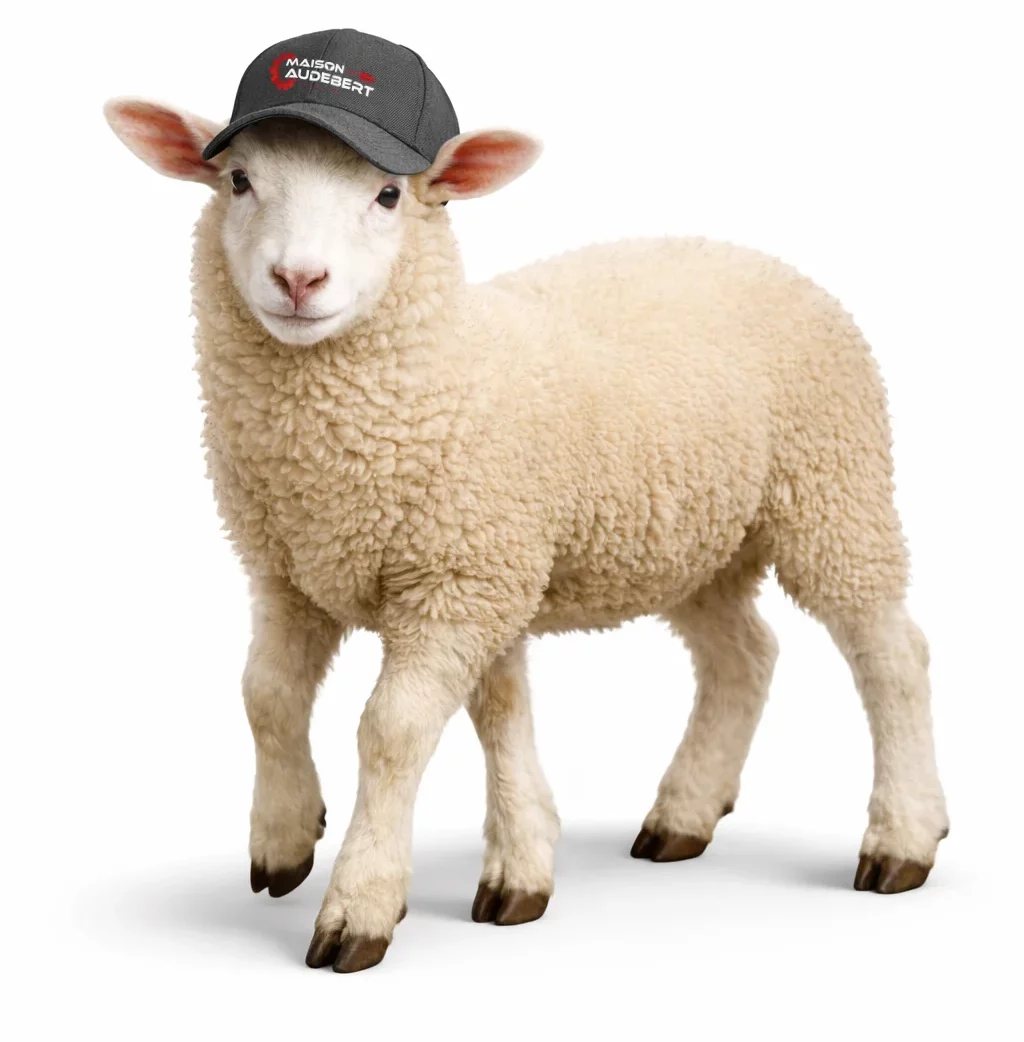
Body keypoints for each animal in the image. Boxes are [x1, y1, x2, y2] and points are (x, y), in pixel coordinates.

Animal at [103, 99, 948, 974]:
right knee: (744, 655)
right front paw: (292, 838)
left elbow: (392, 731)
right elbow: (276, 697)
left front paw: (362, 903)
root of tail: (765, 258)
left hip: (835, 492)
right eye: (239, 181)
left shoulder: (461, 581)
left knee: (893, 654)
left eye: (388, 195)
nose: (299, 280)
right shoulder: (307, 573)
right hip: (698, 541)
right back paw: (684, 813)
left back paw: (902, 837)